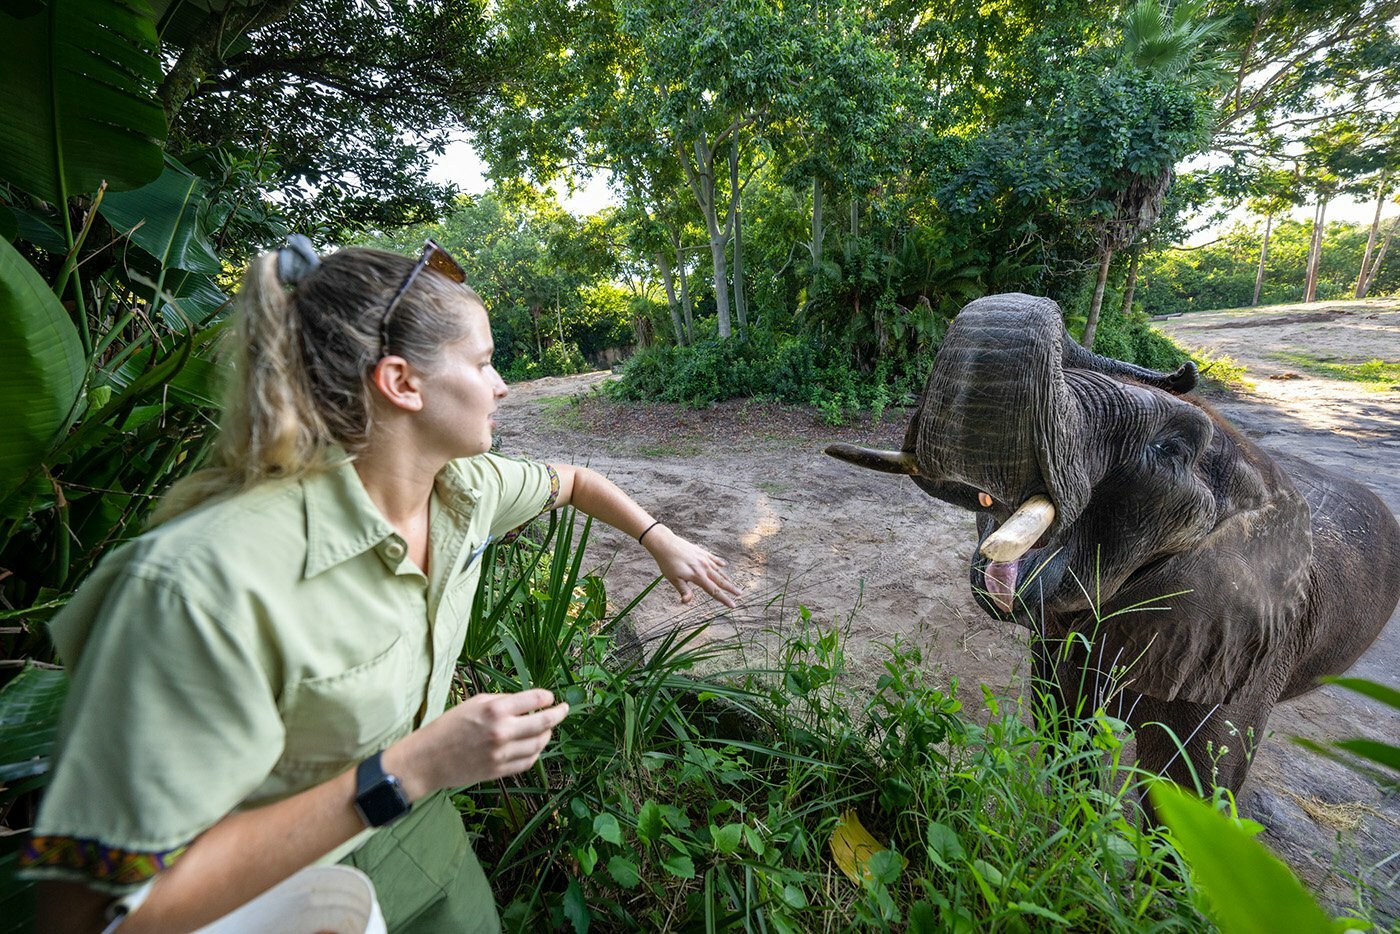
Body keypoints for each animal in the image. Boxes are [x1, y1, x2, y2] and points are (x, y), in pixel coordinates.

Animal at [823, 292, 1400, 795]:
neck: (1257, 471)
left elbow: (1191, 795)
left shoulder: (1249, 647)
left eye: (1171, 450)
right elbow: (1063, 725)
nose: (1185, 368)